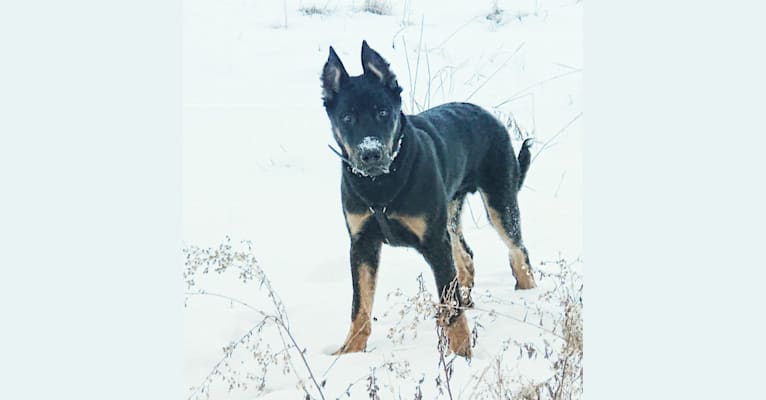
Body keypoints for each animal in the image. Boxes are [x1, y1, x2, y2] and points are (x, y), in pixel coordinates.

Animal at [320, 42, 536, 358]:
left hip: (499, 200)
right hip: (451, 213)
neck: (381, 183)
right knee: (466, 257)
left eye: (383, 112)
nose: (370, 153)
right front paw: (350, 352)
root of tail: (487, 114)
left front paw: (462, 356)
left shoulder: (434, 243)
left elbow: (451, 303)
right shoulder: (362, 243)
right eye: (347, 118)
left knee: (519, 251)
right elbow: (360, 306)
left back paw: (528, 295)